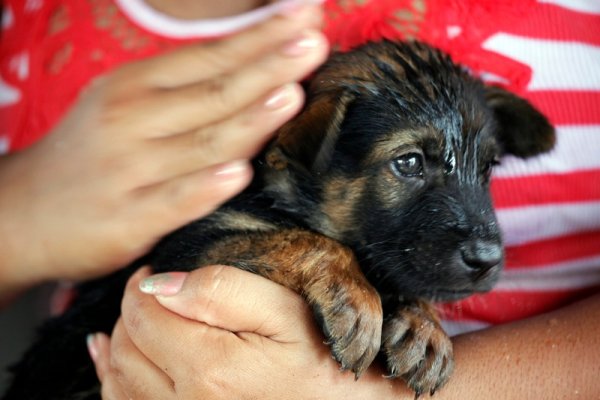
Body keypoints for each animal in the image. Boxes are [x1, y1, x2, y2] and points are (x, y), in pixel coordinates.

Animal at [4, 39, 556, 396]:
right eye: (409, 162)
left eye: (487, 170)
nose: (488, 260)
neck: (284, 193)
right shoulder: (185, 250)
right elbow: (304, 239)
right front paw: (356, 298)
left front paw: (423, 327)